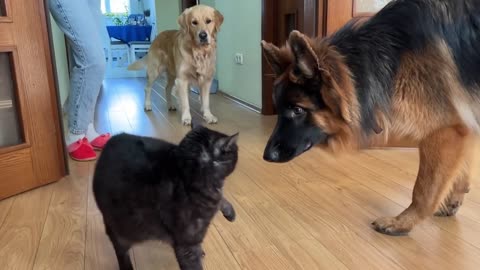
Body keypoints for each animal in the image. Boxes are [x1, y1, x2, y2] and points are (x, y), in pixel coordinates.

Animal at [92, 124, 238, 270]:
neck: (184, 173)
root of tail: (108, 144)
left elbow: (221, 197)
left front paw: (229, 212)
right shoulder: (186, 244)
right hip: (120, 229)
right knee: (121, 250)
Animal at [262, 0, 480, 235]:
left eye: (298, 110)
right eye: (279, 108)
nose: (267, 156)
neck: (394, 53)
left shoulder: (445, 130)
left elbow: (424, 189)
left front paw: (403, 222)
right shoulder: (465, 124)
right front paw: (453, 200)